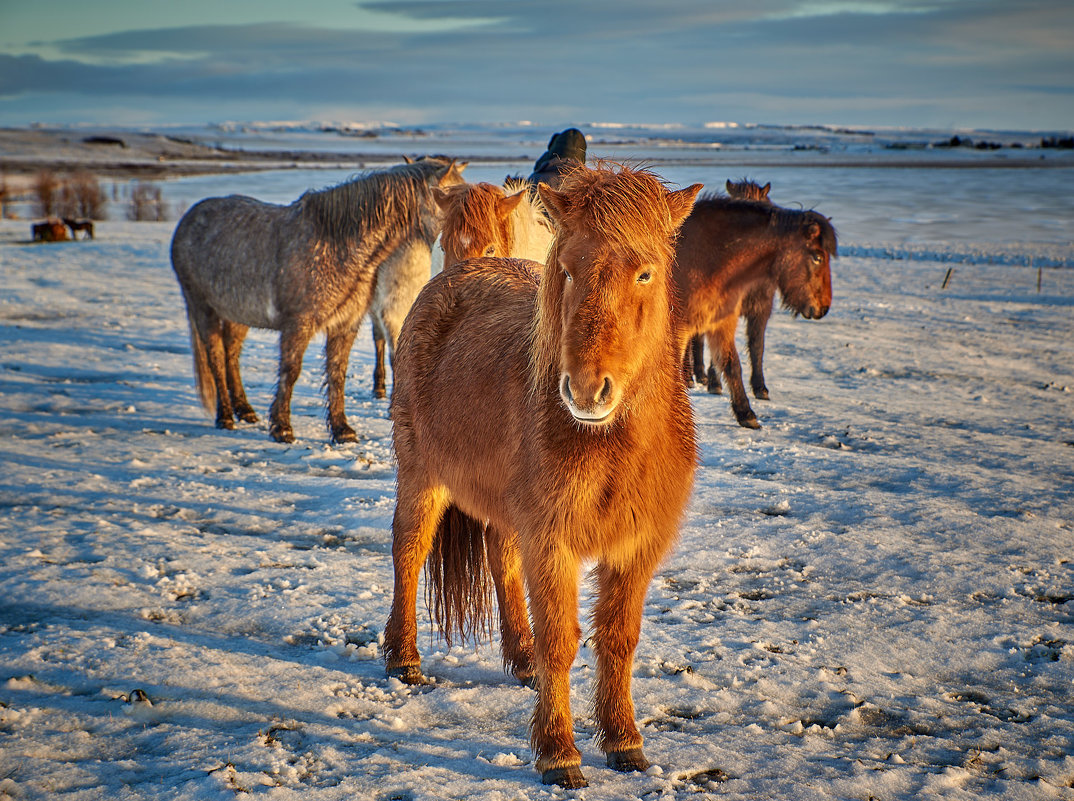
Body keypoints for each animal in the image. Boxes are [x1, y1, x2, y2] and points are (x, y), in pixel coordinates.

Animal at [386, 162, 704, 785]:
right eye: (568, 269)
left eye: (646, 272)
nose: (586, 389)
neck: (610, 445)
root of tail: (458, 272)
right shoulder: (552, 541)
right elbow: (562, 640)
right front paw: (560, 753)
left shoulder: (635, 548)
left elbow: (618, 639)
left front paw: (625, 742)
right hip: (421, 479)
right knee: (409, 552)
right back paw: (405, 660)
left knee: (500, 558)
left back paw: (521, 659)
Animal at [670, 191, 837, 427]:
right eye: (817, 257)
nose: (823, 307)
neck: (706, 257)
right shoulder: (679, 329)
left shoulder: (721, 323)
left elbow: (732, 364)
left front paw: (745, 413)